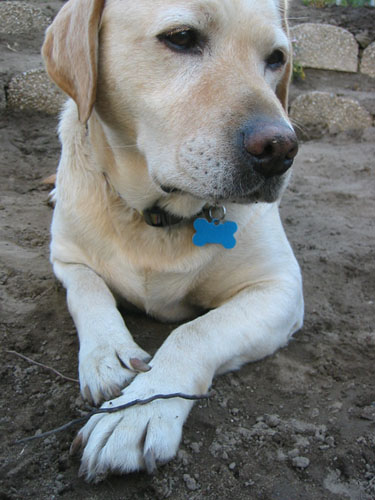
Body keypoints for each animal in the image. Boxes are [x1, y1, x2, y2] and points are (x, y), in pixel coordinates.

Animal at [41, 0, 306, 482]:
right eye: (181, 37)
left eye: (276, 58)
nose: (280, 150)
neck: (158, 216)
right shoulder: (65, 259)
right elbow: (88, 292)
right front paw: (108, 354)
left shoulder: (280, 288)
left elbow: (195, 332)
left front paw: (138, 412)